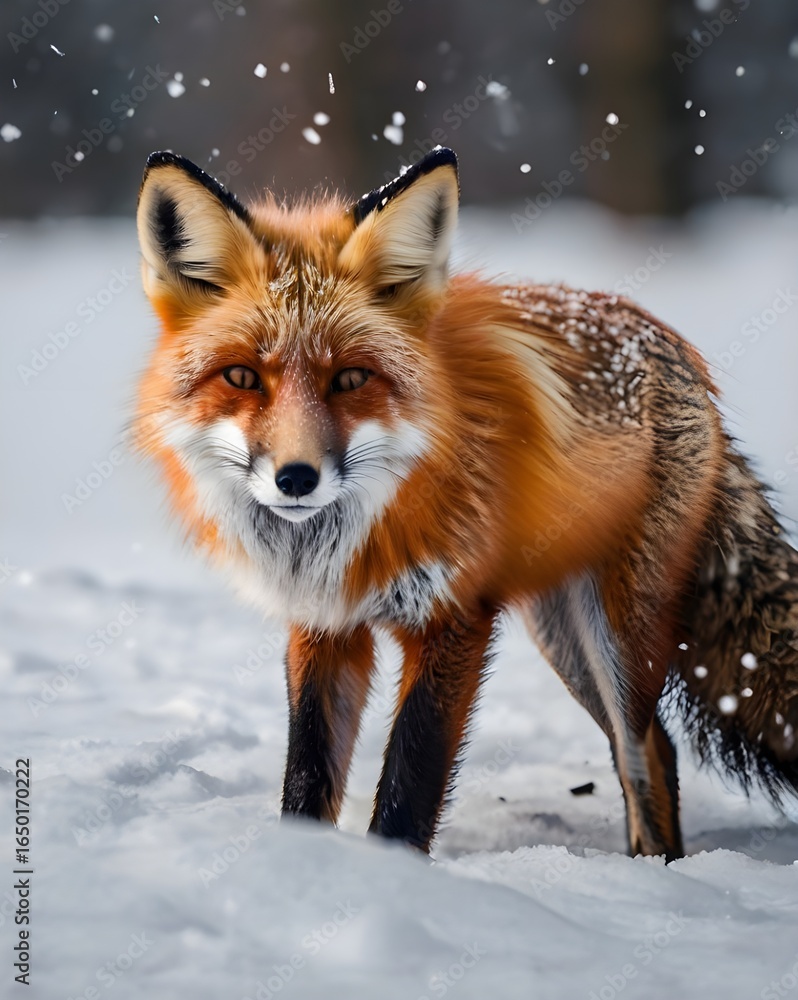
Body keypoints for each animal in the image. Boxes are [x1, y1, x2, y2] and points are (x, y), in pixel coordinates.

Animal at [134, 145, 798, 861]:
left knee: (640, 748)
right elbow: (307, 780)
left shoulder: (455, 617)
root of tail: (678, 351)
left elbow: (410, 781)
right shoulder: (324, 625)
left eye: (351, 378)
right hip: (563, 636)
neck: (359, 532)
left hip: (619, 635)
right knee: (658, 745)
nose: (297, 478)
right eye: (241, 377)